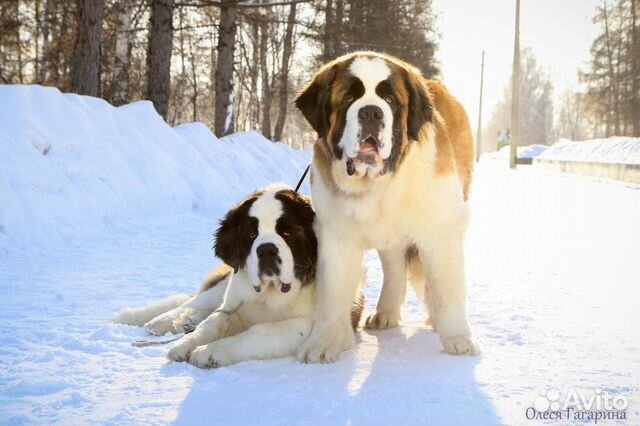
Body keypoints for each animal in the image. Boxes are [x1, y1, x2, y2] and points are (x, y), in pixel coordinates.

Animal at [112, 185, 364, 368]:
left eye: (288, 232)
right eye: (251, 234)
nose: (267, 250)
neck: (269, 296)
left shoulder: (306, 325)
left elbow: (259, 331)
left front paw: (211, 351)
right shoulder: (233, 303)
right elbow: (213, 324)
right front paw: (187, 344)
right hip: (222, 286)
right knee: (192, 303)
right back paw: (163, 321)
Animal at [292, 50, 478, 362]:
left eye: (390, 100)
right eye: (348, 98)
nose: (370, 112)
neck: (377, 186)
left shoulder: (441, 231)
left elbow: (447, 287)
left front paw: (458, 339)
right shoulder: (336, 236)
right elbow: (332, 293)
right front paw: (323, 343)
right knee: (394, 268)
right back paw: (386, 313)